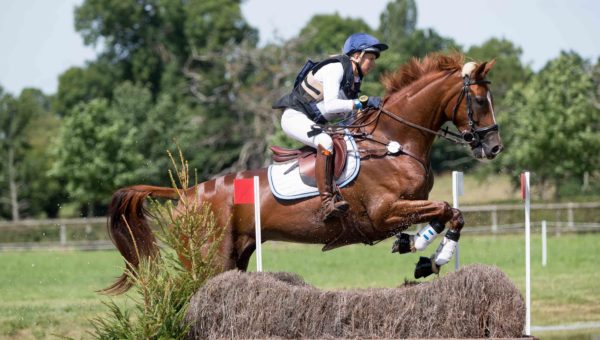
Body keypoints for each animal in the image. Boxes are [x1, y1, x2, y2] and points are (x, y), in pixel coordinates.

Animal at [104, 54, 502, 294]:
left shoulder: (406, 206)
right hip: (207, 256)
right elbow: (446, 210)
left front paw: (422, 254)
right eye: (479, 100)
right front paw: (425, 252)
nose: (493, 147)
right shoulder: (383, 212)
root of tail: (186, 194)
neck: (394, 141)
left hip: (237, 253)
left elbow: (451, 213)